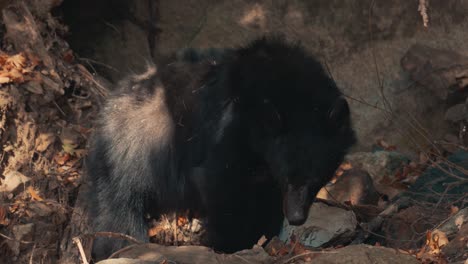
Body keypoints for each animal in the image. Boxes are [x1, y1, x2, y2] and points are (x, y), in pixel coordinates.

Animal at [86, 36, 354, 260]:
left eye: (316, 178)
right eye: (286, 177)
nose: (297, 217)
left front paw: (265, 237)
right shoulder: (228, 129)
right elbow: (220, 183)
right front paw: (231, 245)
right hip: (129, 155)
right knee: (119, 210)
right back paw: (120, 247)